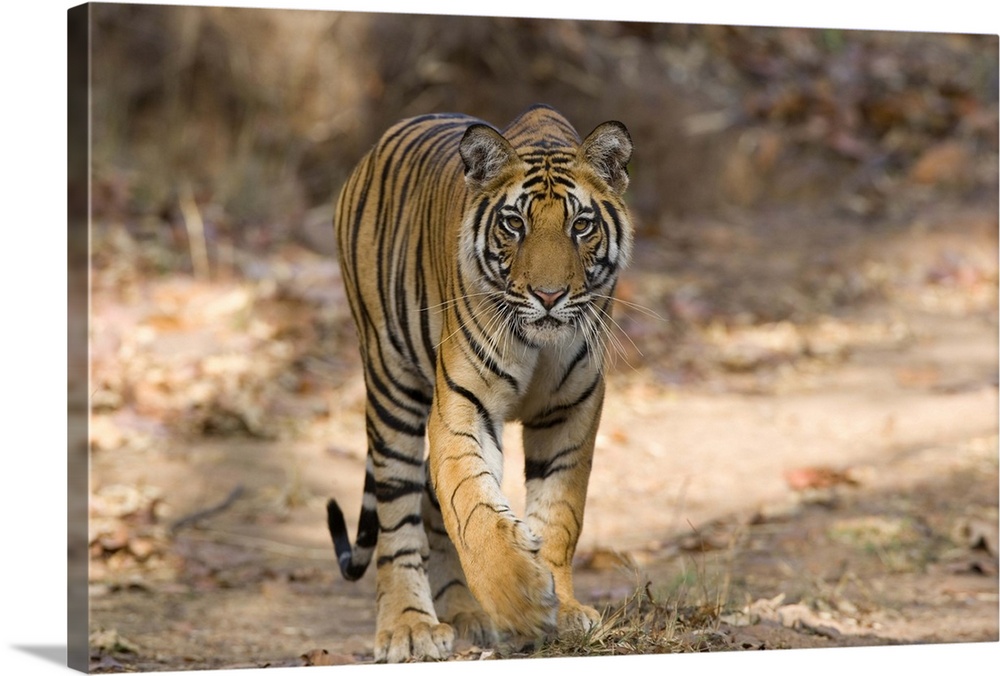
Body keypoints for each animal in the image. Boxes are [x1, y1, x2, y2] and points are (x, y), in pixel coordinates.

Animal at [324, 103, 632, 664]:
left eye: (581, 225)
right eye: (514, 224)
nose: (549, 296)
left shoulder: (572, 408)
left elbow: (559, 514)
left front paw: (563, 607)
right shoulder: (462, 407)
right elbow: (471, 506)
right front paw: (522, 600)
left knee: (428, 504)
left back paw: (467, 613)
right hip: (390, 384)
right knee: (399, 519)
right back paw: (410, 627)